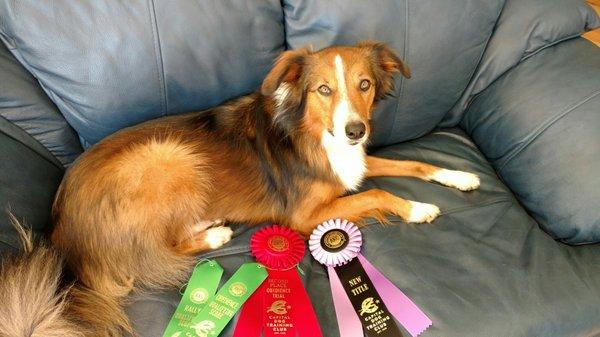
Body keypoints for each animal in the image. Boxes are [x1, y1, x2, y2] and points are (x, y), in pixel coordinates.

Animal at [0, 40, 478, 334]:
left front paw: (460, 175)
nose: (356, 131)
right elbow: (378, 192)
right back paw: (213, 232)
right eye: (323, 90)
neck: (312, 132)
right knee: (158, 250)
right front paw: (418, 208)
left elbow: (412, 162)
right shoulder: (305, 215)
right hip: (169, 157)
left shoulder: (352, 164)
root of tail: (60, 230)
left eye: (365, 85)